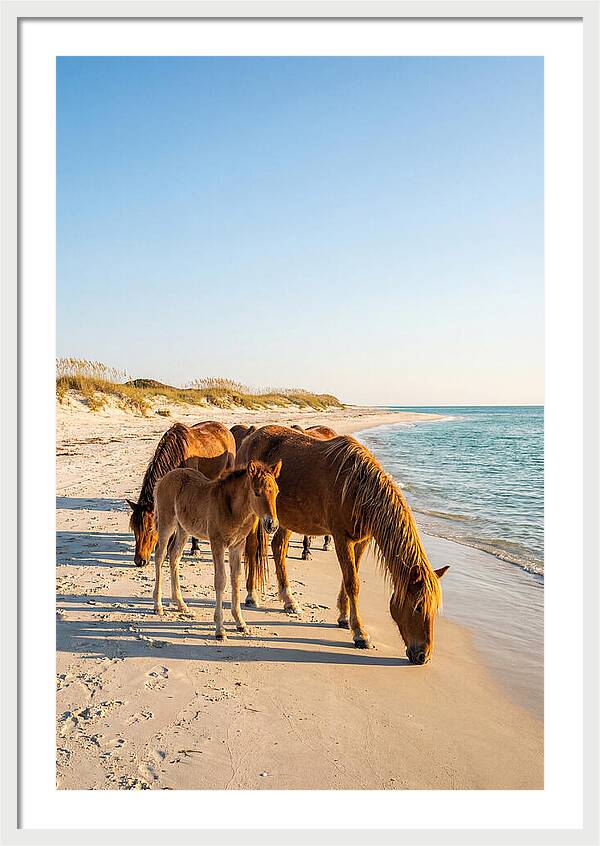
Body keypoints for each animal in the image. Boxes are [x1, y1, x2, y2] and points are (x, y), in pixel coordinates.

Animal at [127, 421, 236, 566]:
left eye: (150, 528)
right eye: (134, 528)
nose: (139, 561)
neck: (178, 455)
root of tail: (225, 429)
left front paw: (195, 548)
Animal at [152, 459, 282, 639]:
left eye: (277, 492)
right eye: (257, 492)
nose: (272, 525)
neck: (233, 509)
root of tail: (164, 478)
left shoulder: (237, 546)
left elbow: (236, 579)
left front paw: (240, 623)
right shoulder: (217, 543)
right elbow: (221, 580)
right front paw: (220, 629)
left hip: (183, 528)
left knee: (174, 556)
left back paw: (180, 603)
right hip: (166, 523)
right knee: (160, 555)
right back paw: (158, 606)